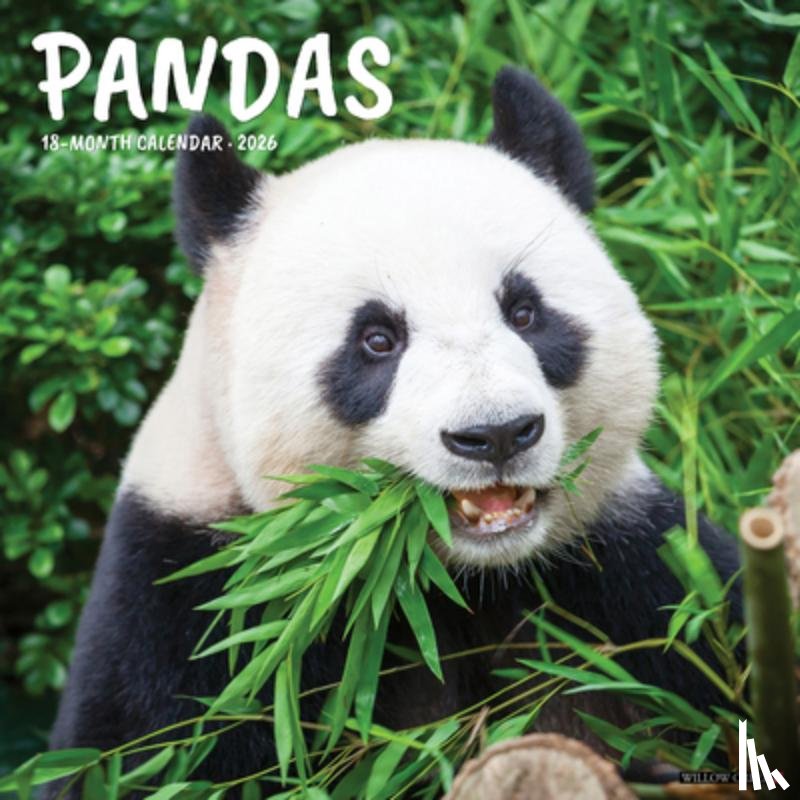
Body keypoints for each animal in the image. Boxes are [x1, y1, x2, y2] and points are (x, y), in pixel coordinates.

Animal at [49, 67, 742, 791]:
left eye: (525, 312)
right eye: (377, 339)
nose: (496, 434)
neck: (447, 579)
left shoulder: (632, 565)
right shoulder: (191, 594)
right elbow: (144, 748)